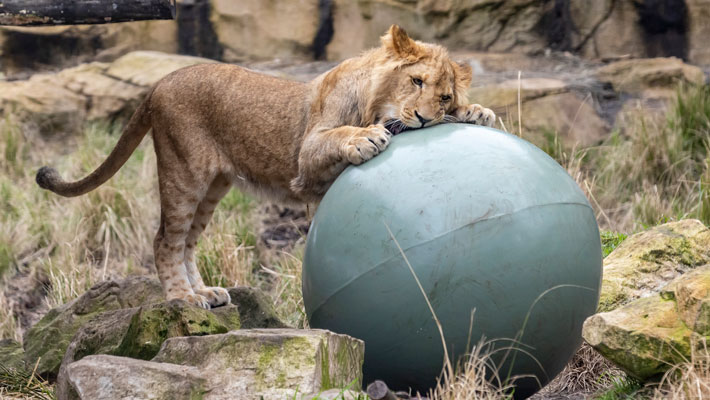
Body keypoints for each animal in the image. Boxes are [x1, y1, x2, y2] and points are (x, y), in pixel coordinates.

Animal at [36, 25, 495, 309]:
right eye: (416, 81)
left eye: (444, 96)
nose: (424, 119)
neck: (376, 105)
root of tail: (159, 82)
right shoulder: (307, 156)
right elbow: (337, 136)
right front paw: (364, 138)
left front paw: (478, 112)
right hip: (184, 171)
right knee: (166, 238)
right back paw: (182, 299)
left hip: (213, 187)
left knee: (187, 242)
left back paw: (204, 292)